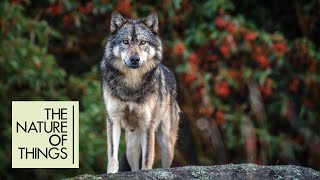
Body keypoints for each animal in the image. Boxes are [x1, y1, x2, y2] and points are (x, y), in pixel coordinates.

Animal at [100, 10, 180, 173]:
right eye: (125, 42)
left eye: (143, 42)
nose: (135, 59)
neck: (132, 83)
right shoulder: (113, 119)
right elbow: (112, 154)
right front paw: (111, 173)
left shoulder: (147, 124)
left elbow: (147, 157)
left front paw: (146, 171)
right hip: (131, 147)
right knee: (134, 166)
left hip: (167, 144)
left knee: (166, 164)